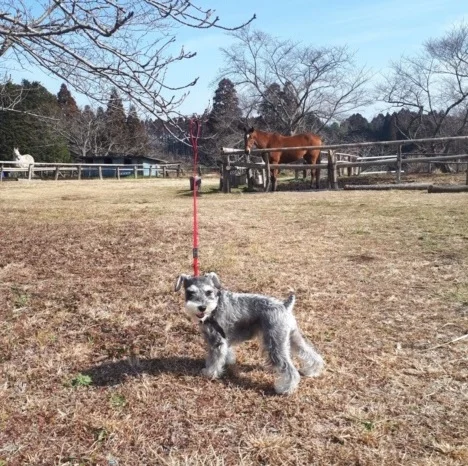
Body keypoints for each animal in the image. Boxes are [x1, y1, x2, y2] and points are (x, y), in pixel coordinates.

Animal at [174, 272, 324, 396]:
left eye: (208, 292)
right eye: (190, 292)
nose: (202, 307)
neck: (214, 307)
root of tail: (284, 306)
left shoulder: (216, 340)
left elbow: (214, 359)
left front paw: (209, 373)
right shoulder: (225, 338)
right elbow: (226, 352)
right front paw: (228, 361)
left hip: (274, 343)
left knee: (289, 369)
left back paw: (285, 389)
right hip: (291, 337)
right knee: (309, 352)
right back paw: (312, 371)